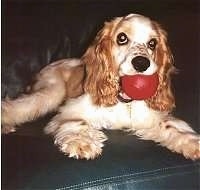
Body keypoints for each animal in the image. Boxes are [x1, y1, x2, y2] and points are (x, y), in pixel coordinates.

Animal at [1, 13, 200, 160]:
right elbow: (75, 122)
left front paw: (192, 142)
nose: (141, 63)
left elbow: (170, 125)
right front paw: (82, 142)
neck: (124, 102)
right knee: (13, 106)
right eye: (122, 38)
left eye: (153, 43)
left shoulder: (149, 117)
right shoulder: (70, 110)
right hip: (51, 92)